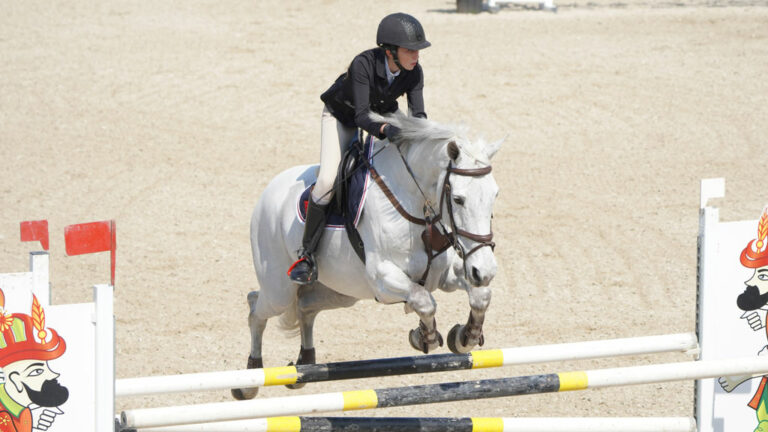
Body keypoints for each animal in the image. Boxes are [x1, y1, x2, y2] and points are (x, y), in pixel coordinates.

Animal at [231, 113, 500, 400]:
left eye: (495, 195)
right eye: (458, 199)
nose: (485, 271)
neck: (414, 204)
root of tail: (270, 190)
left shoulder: (443, 275)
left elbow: (481, 296)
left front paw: (464, 337)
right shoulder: (383, 278)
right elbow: (424, 300)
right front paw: (424, 337)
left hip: (341, 292)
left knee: (305, 307)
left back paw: (304, 364)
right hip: (279, 290)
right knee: (255, 307)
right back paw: (248, 381)